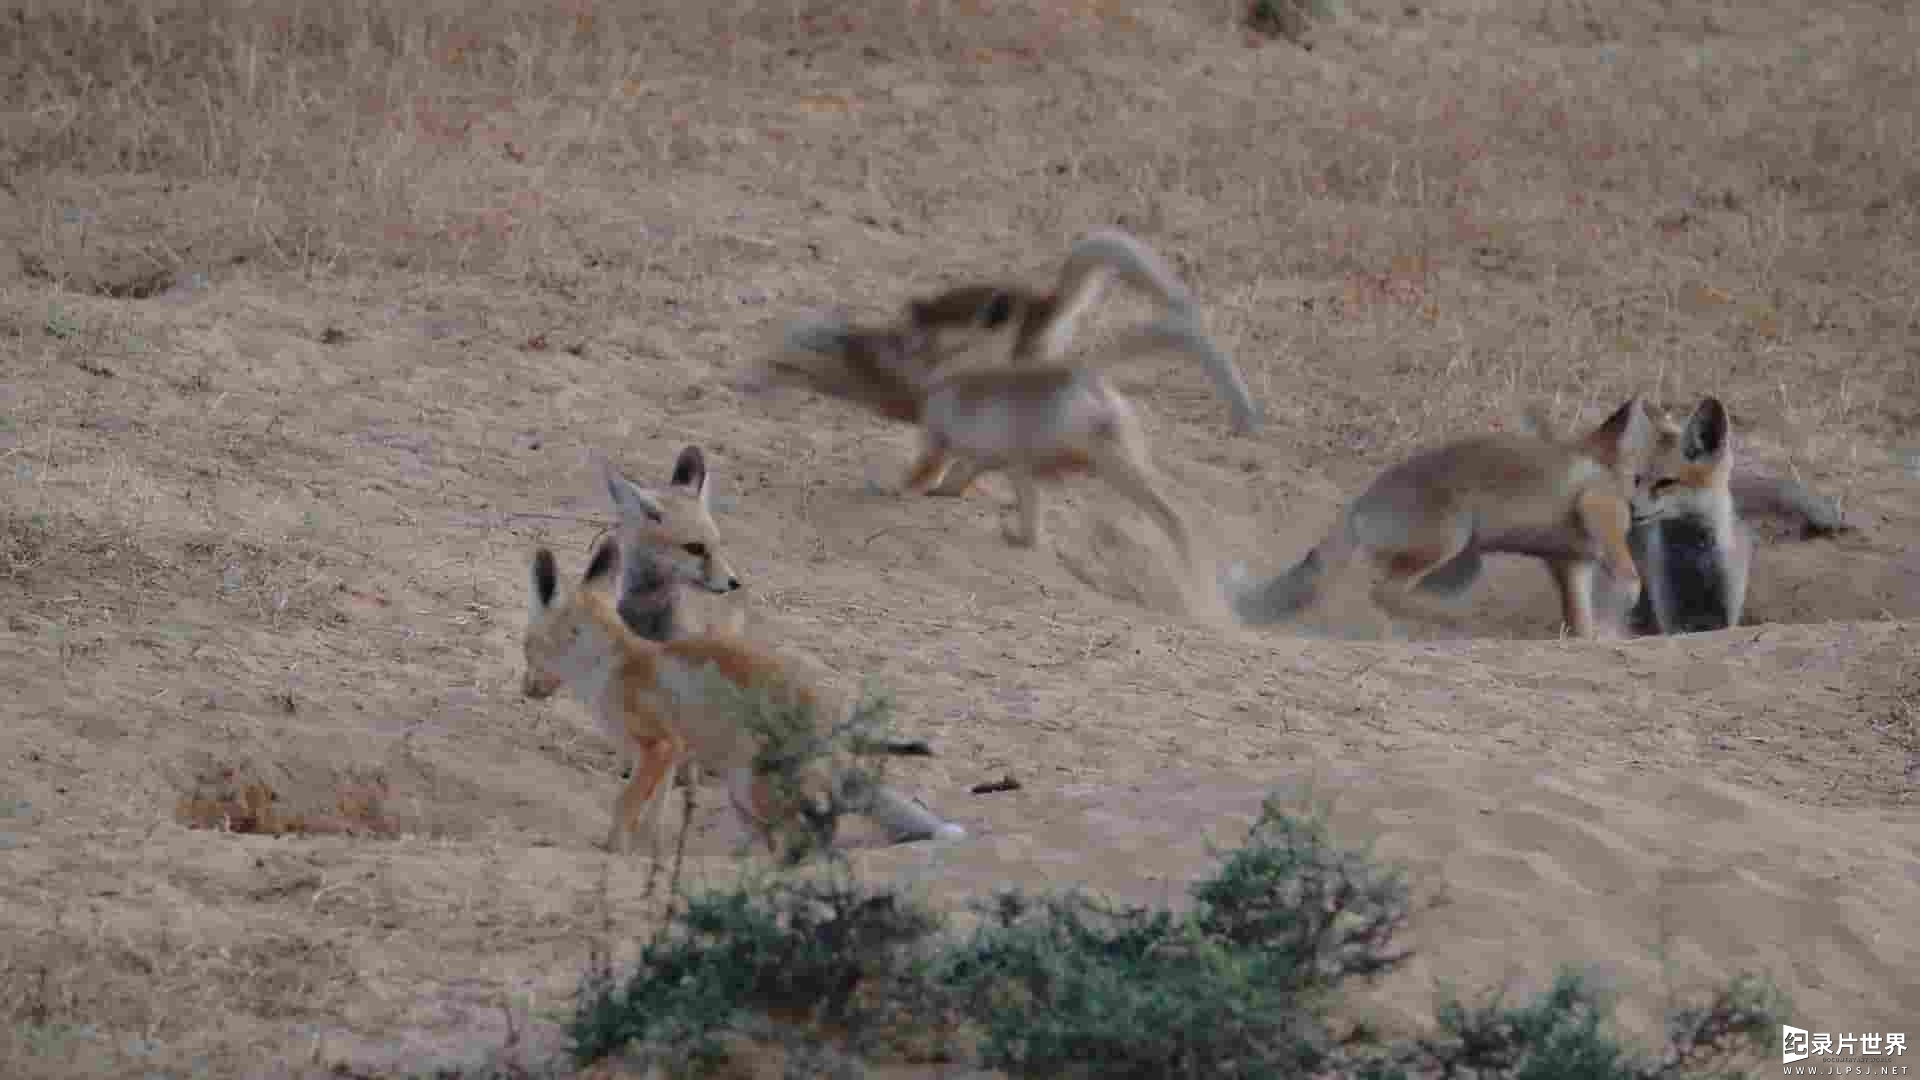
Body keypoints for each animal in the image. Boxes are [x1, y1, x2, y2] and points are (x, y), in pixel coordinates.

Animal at [522, 530, 960, 857]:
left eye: (526, 647)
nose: (525, 690)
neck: (610, 667)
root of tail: (832, 721)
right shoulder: (670, 755)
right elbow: (651, 816)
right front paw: (649, 855)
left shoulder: (659, 745)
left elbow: (624, 807)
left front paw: (613, 850)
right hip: (743, 795)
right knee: (783, 834)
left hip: (750, 786)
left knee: (809, 831)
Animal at [1228, 397, 1651, 638]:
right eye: (1641, 479)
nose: (1645, 509)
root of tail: (1361, 502)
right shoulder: (1596, 510)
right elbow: (1629, 576)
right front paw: (1625, 605)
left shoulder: (1570, 563)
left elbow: (1581, 625)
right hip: (1451, 541)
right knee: (1384, 593)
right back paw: (1448, 624)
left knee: (1385, 596)